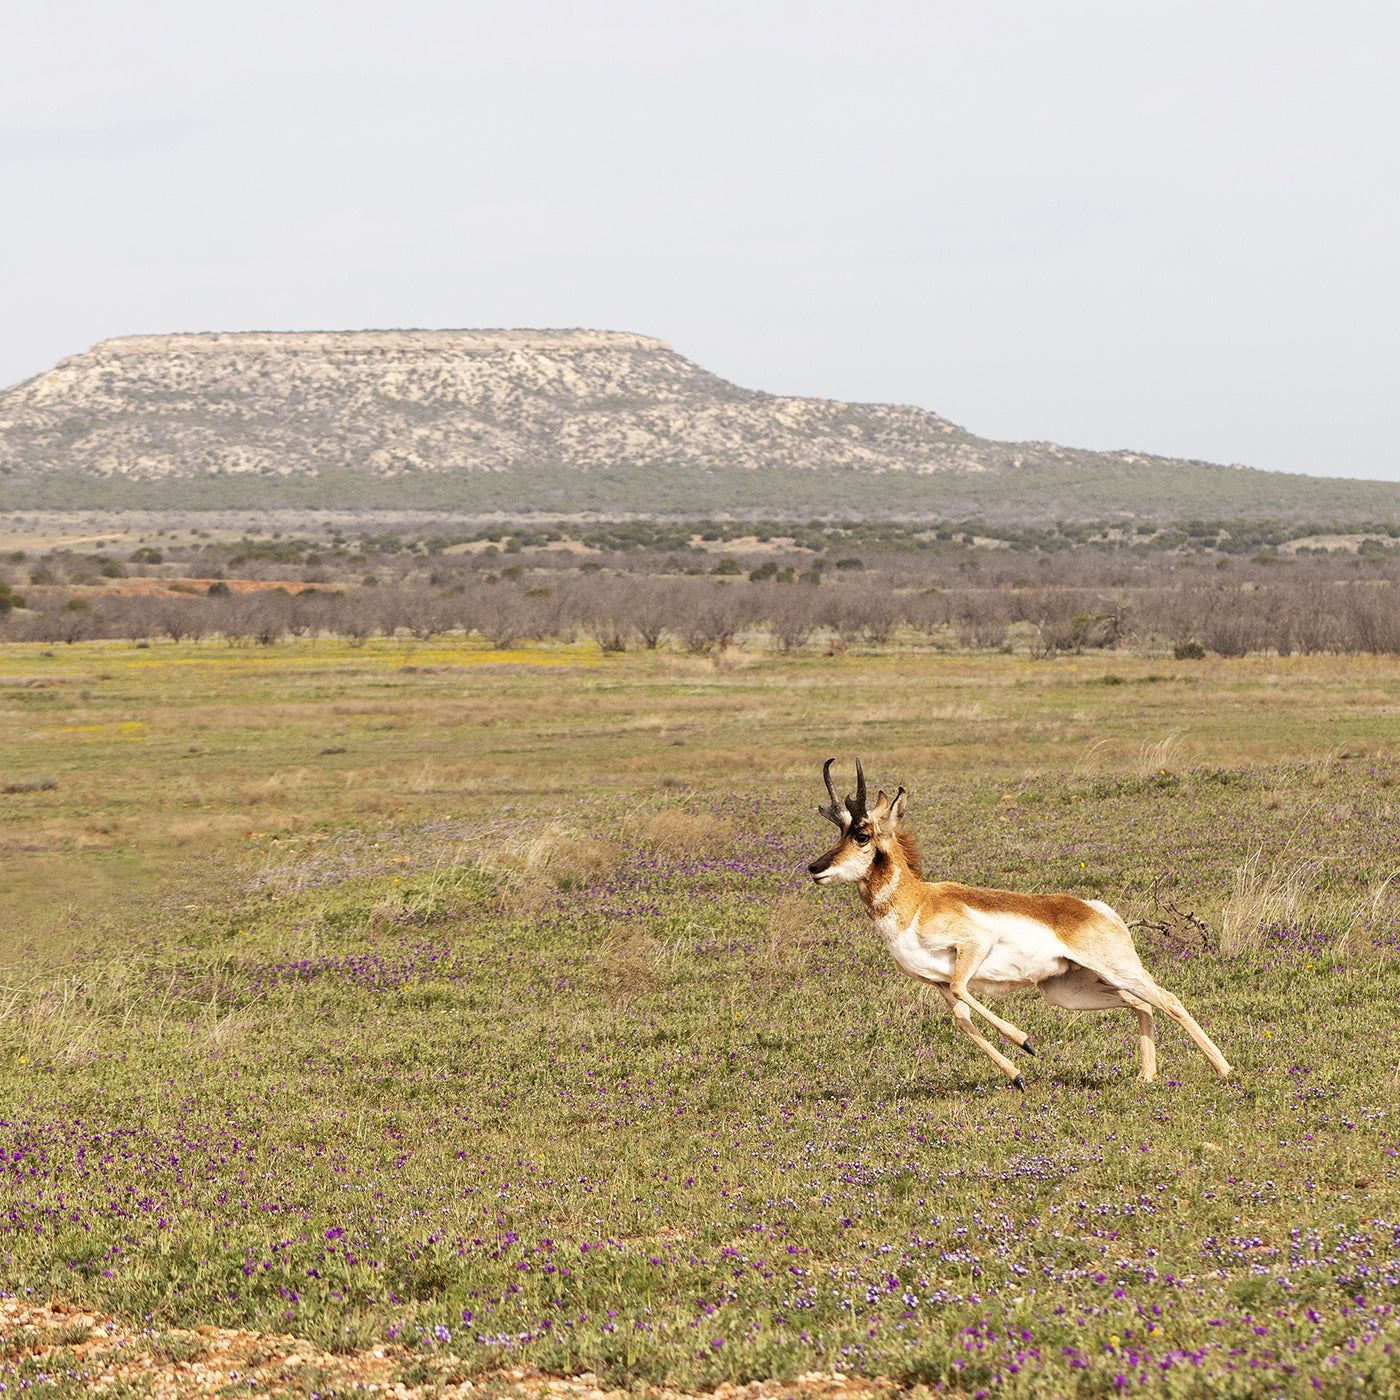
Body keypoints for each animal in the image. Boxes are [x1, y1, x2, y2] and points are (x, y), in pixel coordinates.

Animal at [806, 761, 1232, 1086]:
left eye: (862, 834)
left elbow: (964, 991)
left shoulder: (971, 948)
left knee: (1168, 1000)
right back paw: (1146, 1076)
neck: (918, 903)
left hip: (1117, 969)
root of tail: (1092, 908)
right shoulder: (937, 982)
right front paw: (1017, 1076)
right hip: (1069, 991)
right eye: (839, 832)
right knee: (1141, 1004)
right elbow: (962, 1018)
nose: (814, 867)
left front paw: (1026, 1042)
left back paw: (1225, 1070)